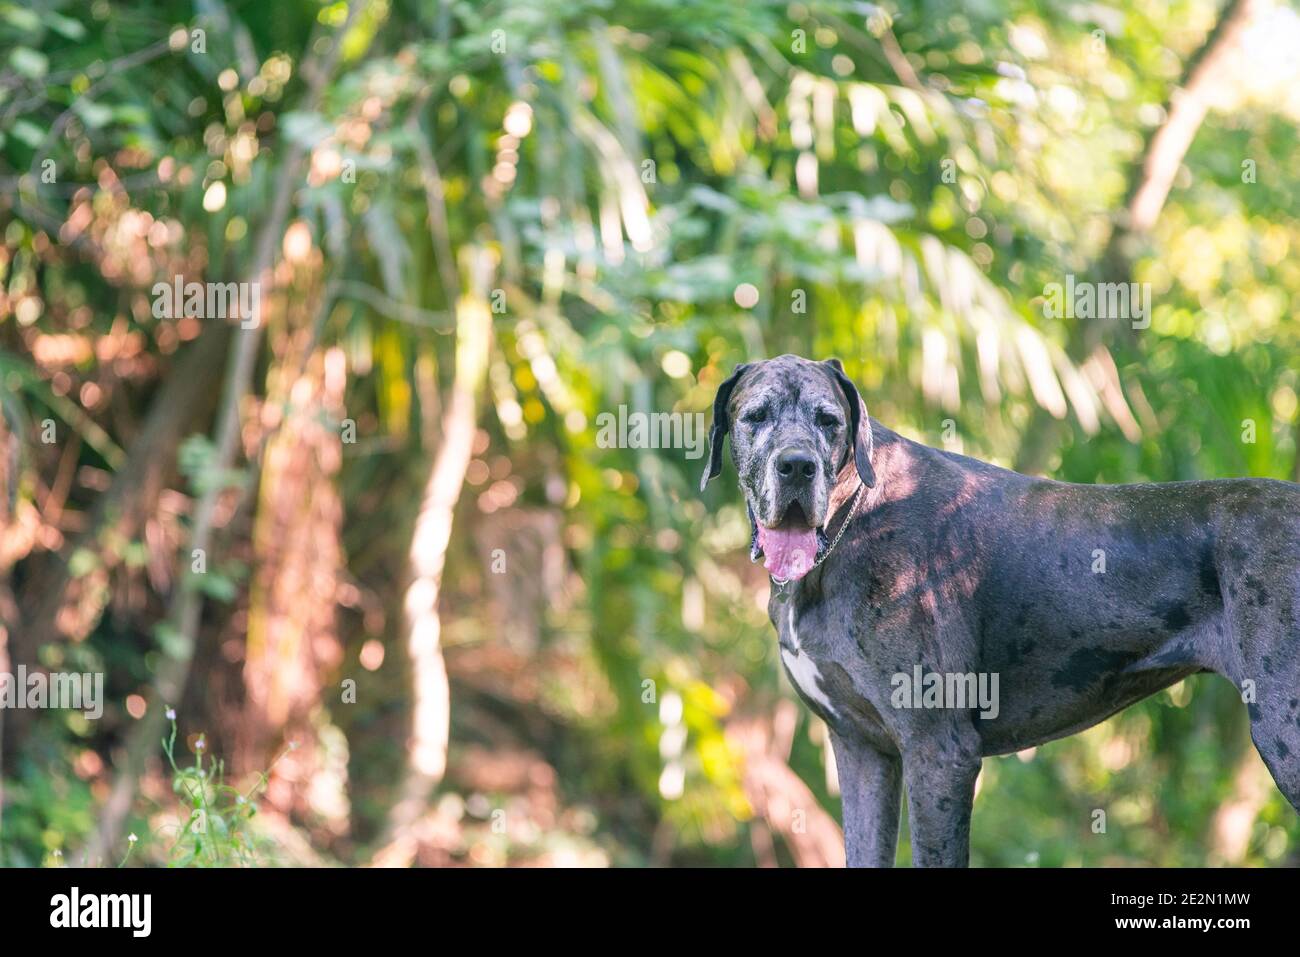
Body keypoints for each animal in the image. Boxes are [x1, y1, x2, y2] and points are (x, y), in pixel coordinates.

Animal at [702, 356, 1300, 868]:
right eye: (756, 416)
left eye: (829, 421)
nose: (797, 466)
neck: (853, 519)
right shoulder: (862, 750)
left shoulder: (939, 753)